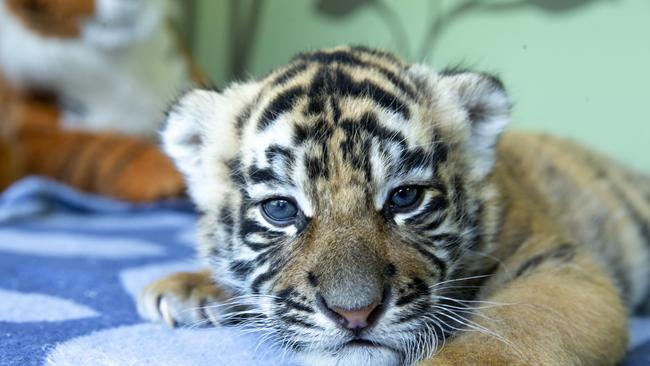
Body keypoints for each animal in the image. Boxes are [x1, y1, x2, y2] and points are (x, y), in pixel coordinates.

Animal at [139, 47, 644, 364]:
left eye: (404, 197)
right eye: (281, 210)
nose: (354, 315)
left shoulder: (560, 264)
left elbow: (507, 336)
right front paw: (185, 287)